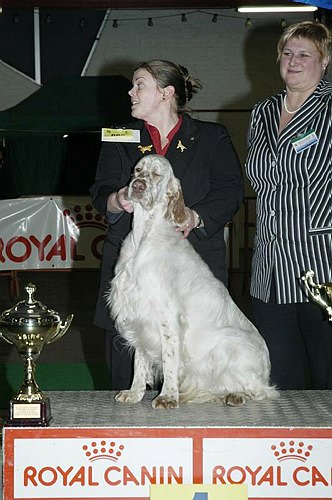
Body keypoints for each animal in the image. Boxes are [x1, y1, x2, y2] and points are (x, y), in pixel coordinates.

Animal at [107, 154, 278, 408]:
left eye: (157, 174)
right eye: (137, 170)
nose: (137, 186)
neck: (144, 236)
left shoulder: (167, 315)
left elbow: (169, 360)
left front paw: (168, 396)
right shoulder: (139, 314)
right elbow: (140, 360)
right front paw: (134, 393)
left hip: (229, 343)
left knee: (263, 391)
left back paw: (237, 395)